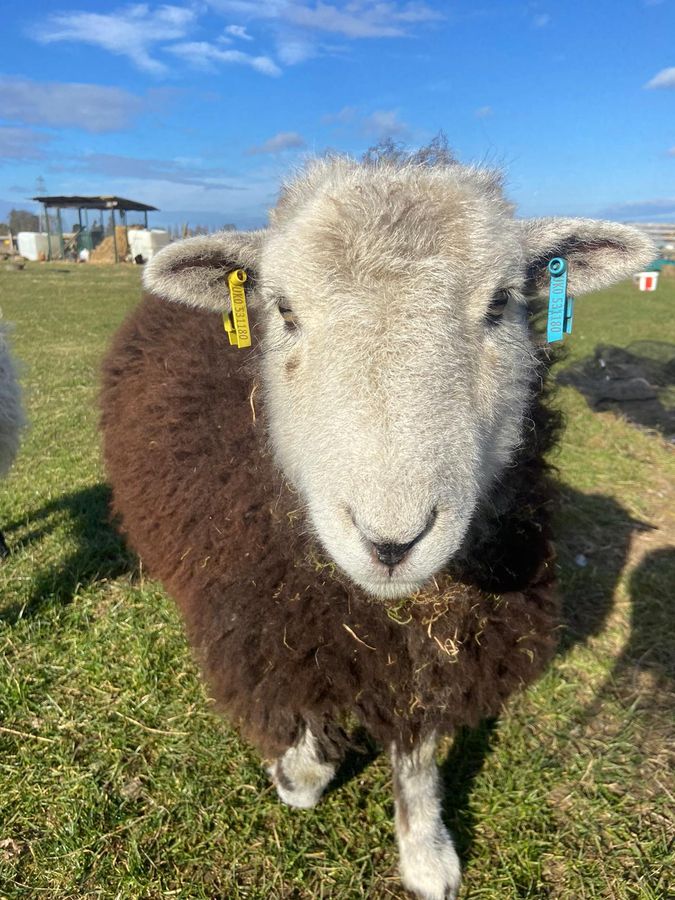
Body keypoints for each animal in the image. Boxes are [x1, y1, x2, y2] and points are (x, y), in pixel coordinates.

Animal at [100, 148, 654, 900]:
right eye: (283, 310)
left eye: (500, 304)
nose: (391, 542)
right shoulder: (277, 622)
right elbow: (302, 741)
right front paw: (300, 770)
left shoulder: (427, 650)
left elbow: (416, 755)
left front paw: (425, 852)